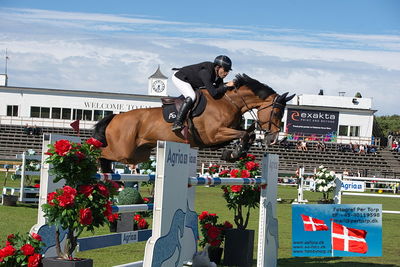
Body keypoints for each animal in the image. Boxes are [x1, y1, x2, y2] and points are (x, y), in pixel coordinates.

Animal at [93, 74, 294, 173]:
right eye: (277, 112)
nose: (272, 139)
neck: (229, 101)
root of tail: (115, 117)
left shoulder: (221, 136)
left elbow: (248, 134)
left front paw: (232, 153)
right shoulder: (214, 135)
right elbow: (244, 133)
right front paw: (236, 152)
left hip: (138, 155)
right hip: (123, 152)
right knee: (101, 153)